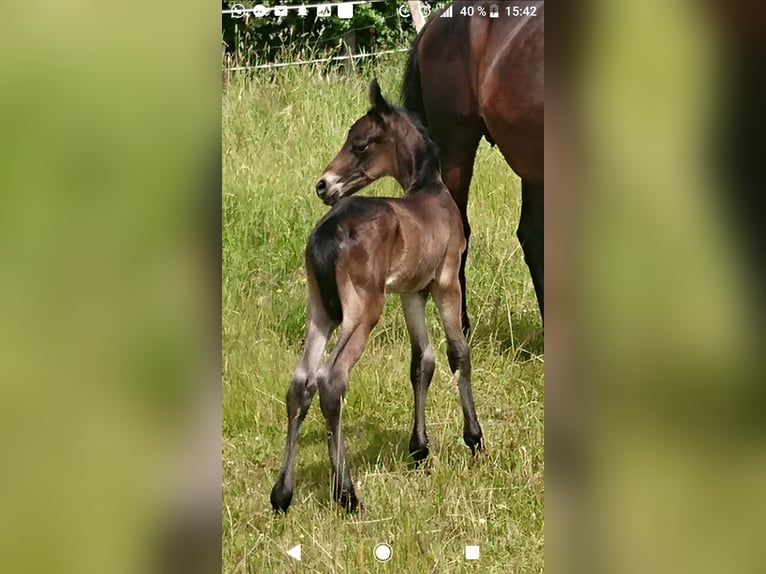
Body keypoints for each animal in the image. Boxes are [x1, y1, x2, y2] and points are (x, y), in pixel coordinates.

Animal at [272, 79, 486, 516]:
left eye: (360, 144)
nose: (323, 185)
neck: (429, 190)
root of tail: (327, 232)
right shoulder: (445, 282)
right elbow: (457, 351)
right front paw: (474, 437)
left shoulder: (410, 293)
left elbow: (422, 362)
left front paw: (419, 449)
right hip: (364, 309)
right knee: (331, 379)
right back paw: (346, 493)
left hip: (321, 310)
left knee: (301, 382)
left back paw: (282, 495)